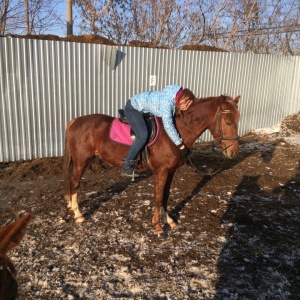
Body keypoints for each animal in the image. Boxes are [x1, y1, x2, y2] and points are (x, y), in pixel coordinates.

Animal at [64, 95, 240, 233]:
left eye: (238, 120)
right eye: (228, 122)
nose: (233, 152)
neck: (175, 132)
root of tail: (75, 121)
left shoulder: (171, 171)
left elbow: (165, 195)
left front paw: (168, 220)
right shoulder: (161, 171)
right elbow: (158, 196)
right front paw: (157, 225)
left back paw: (71, 207)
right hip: (81, 160)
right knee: (74, 182)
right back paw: (78, 214)